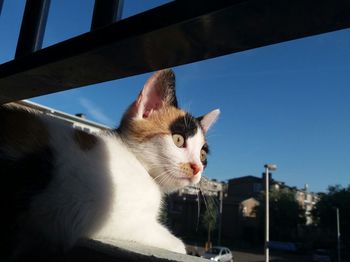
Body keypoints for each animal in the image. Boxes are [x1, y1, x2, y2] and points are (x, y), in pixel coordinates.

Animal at [0, 68, 219, 260]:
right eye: (178, 140)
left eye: (202, 155)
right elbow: (169, 240)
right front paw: (179, 245)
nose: (197, 168)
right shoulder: (103, 218)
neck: (138, 165)